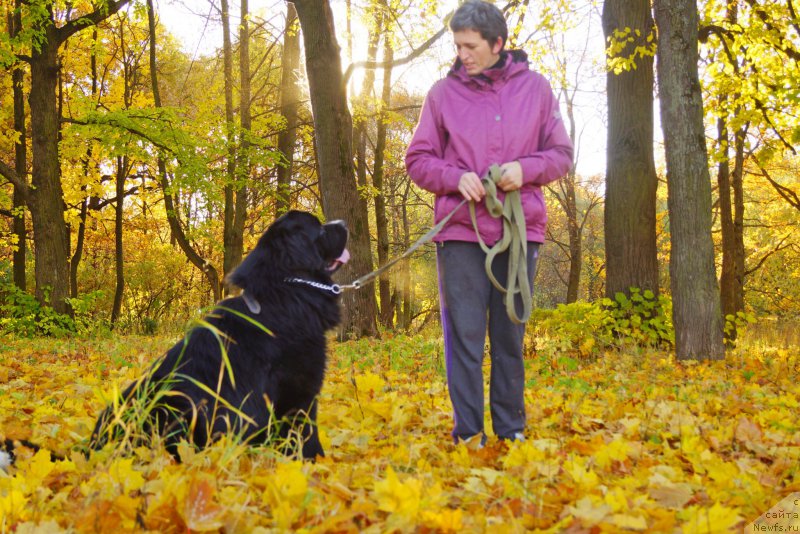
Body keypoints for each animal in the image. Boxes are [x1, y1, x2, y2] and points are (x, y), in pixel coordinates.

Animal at [89, 211, 348, 462]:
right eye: (320, 229)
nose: (344, 223)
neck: (285, 289)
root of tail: (94, 447)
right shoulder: (300, 388)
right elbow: (305, 433)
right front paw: (314, 462)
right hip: (177, 403)